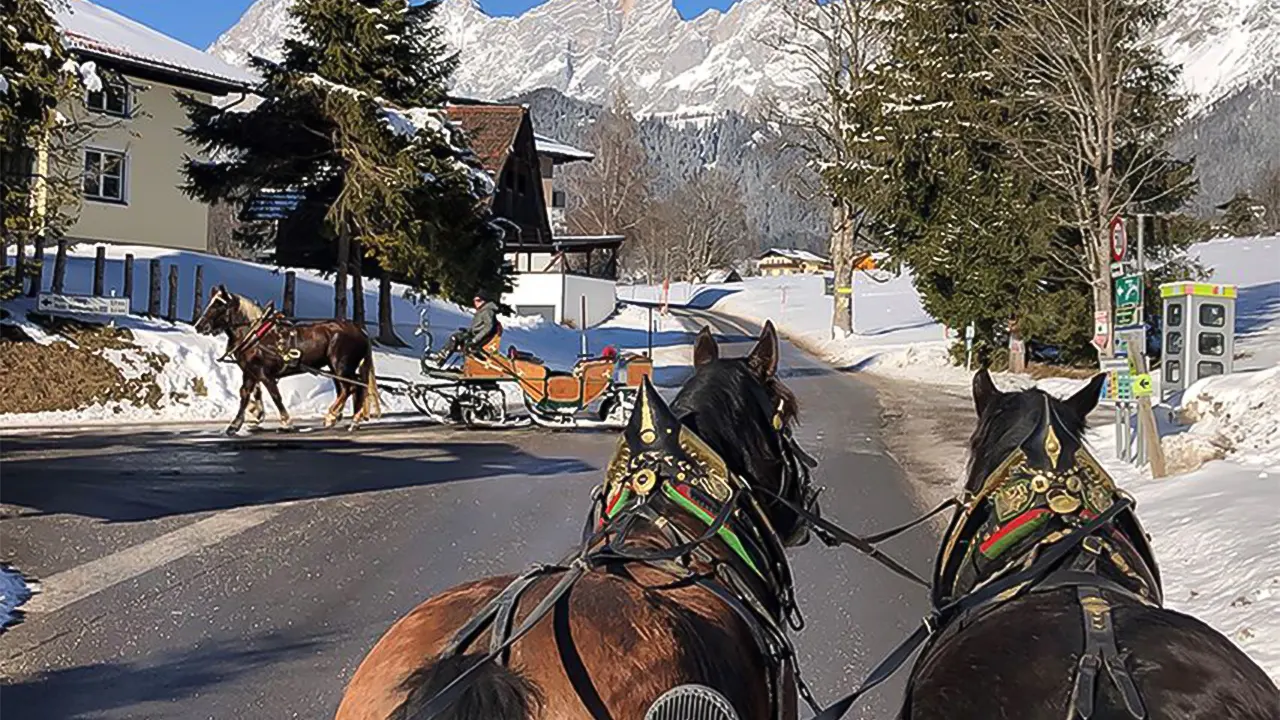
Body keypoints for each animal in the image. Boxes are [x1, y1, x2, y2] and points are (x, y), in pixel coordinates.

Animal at [189, 284, 378, 430]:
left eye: (219, 305)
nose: (199, 326)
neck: (253, 335)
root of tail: (360, 330)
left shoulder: (264, 373)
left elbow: (275, 395)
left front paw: (286, 422)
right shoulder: (250, 372)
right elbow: (245, 394)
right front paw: (236, 424)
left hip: (341, 366)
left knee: (350, 388)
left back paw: (333, 416)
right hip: (337, 368)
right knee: (355, 387)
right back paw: (351, 420)